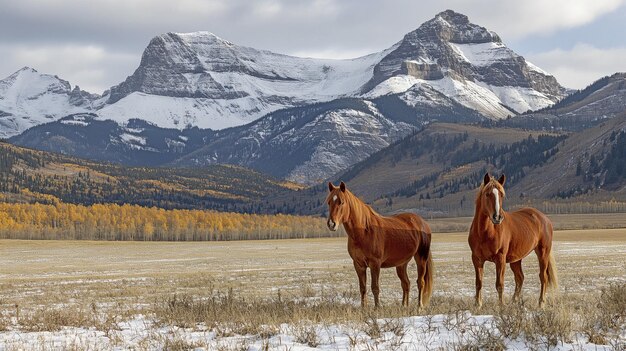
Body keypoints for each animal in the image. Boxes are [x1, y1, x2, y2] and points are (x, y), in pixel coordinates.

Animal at [468, 174, 556, 308]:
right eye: (487, 194)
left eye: (501, 195)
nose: (497, 217)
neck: (485, 232)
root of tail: (544, 218)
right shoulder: (477, 259)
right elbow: (479, 282)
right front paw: (478, 304)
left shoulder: (500, 259)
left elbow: (499, 284)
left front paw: (501, 306)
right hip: (516, 259)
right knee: (520, 278)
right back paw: (514, 301)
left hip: (543, 253)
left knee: (543, 277)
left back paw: (541, 303)